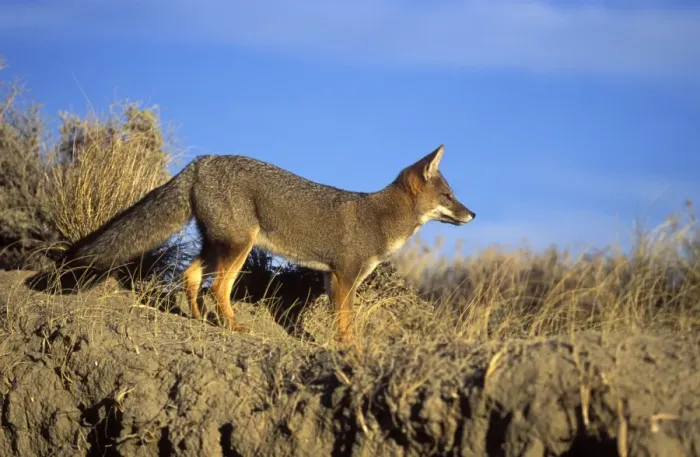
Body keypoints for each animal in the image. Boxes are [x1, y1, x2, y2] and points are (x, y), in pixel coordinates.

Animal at [62, 144, 475, 343]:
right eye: (449, 196)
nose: (472, 214)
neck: (380, 216)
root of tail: (202, 160)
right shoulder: (345, 277)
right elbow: (346, 323)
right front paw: (351, 351)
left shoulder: (332, 278)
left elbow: (338, 321)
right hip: (238, 247)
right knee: (218, 288)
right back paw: (232, 326)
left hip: (218, 246)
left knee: (191, 277)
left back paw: (198, 319)